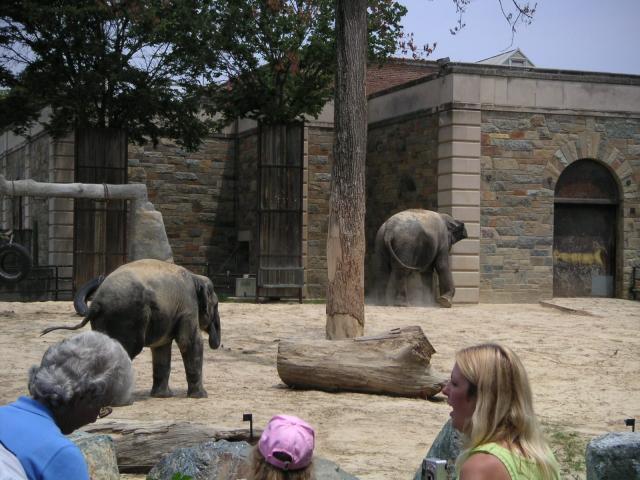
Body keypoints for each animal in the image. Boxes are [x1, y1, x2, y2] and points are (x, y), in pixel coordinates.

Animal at [42, 259, 221, 398]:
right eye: (216, 305)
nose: (216, 343)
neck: (195, 277)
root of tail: (96, 303)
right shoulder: (187, 307)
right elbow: (188, 342)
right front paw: (201, 396)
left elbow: (161, 348)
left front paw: (162, 396)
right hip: (127, 315)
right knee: (126, 350)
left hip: (108, 319)